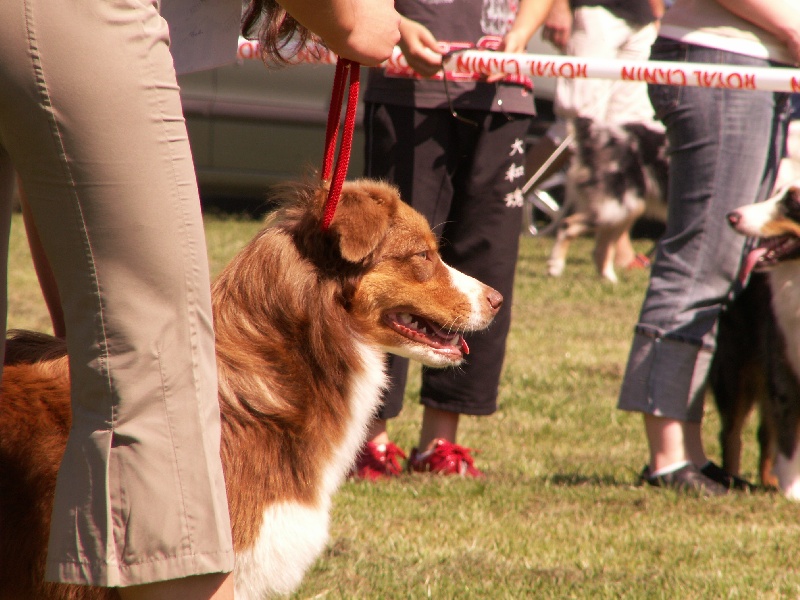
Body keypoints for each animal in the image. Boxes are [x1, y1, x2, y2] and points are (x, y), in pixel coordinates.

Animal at [544, 119, 668, 286]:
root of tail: (593, 134)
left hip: (624, 208)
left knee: (600, 249)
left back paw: (610, 280)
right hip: (619, 205)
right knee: (568, 226)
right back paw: (555, 267)